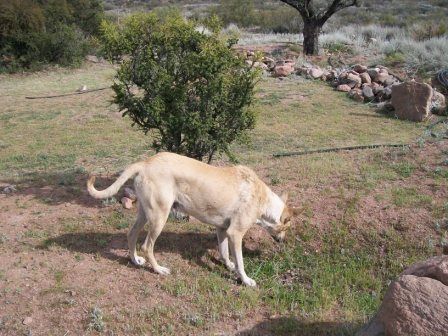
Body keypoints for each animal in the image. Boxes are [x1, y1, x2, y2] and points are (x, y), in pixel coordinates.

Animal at [86, 152, 300, 286]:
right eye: (287, 228)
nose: (283, 241)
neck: (263, 201)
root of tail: (145, 162)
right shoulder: (236, 233)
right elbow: (240, 261)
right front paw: (246, 280)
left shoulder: (223, 230)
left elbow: (224, 253)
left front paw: (228, 266)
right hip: (159, 217)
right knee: (147, 246)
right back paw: (159, 270)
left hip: (145, 214)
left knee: (131, 236)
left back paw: (136, 260)